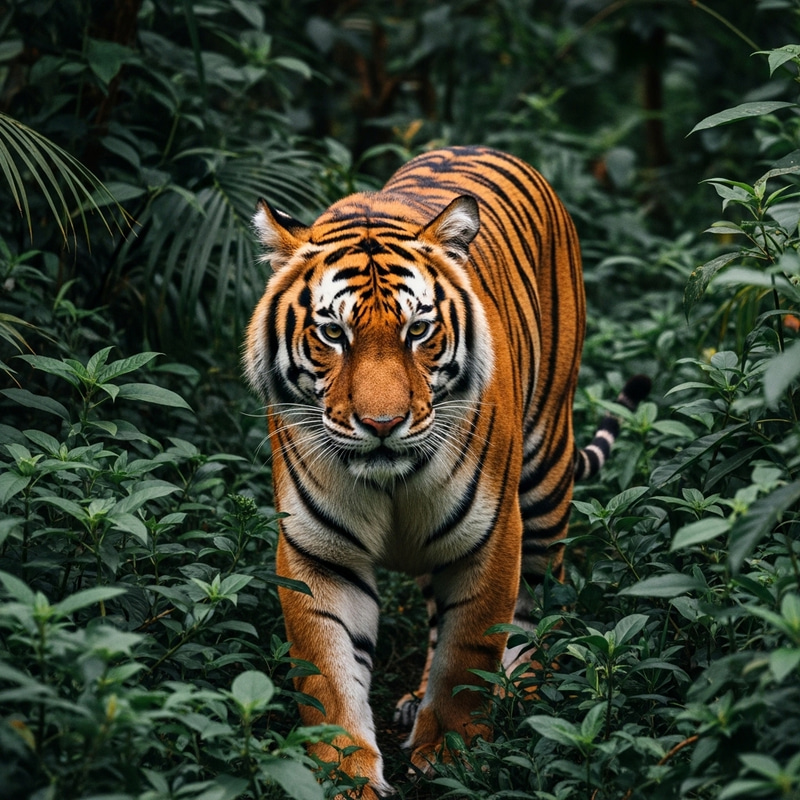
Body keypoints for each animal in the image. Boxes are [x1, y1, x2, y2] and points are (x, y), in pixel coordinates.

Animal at [244, 145, 650, 798]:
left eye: (418, 330)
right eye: (333, 333)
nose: (382, 423)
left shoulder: (491, 535)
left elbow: (469, 654)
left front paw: (453, 756)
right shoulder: (318, 552)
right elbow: (327, 673)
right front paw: (342, 774)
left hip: (546, 474)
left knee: (542, 597)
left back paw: (528, 687)